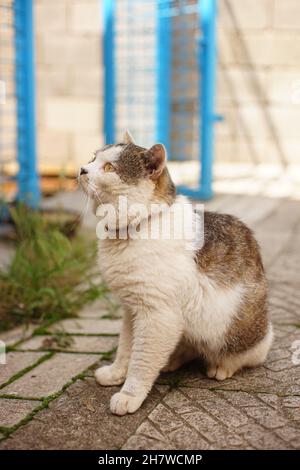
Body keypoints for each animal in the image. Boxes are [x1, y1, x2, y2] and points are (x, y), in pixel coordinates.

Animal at [79, 131, 272, 414]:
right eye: (93, 158)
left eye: (109, 168)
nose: (82, 169)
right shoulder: (132, 310)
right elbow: (126, 348)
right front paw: (116, 373)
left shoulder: (157, 315)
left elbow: (141, 362)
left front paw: (129, 394)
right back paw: (172, 359)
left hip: (240, 333)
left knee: (243, 355)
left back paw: (220, 366)